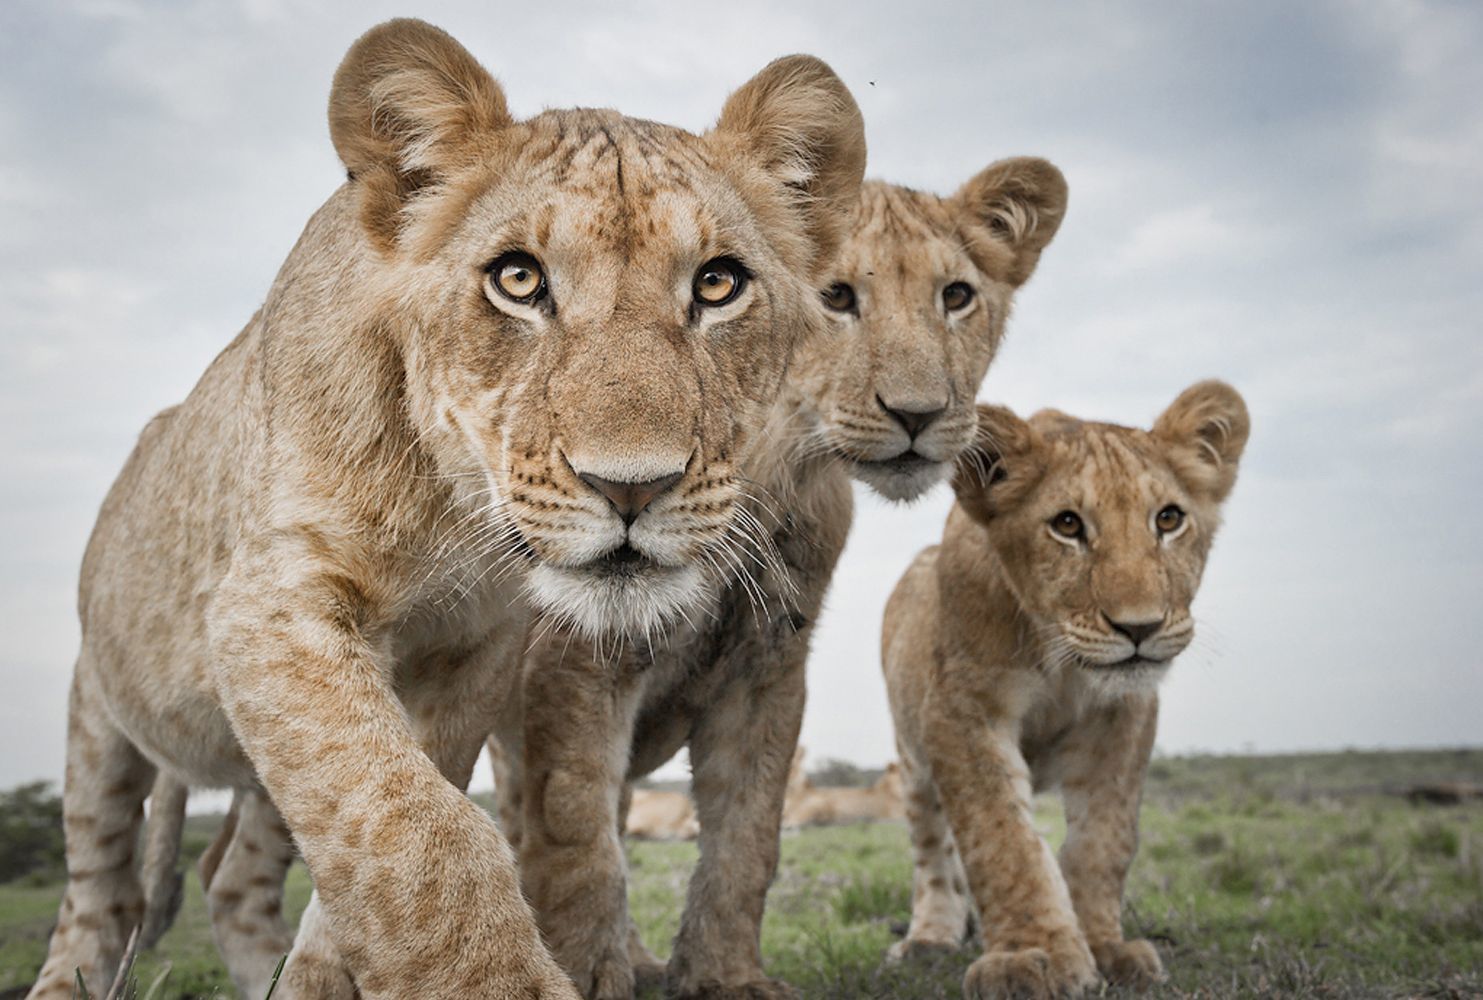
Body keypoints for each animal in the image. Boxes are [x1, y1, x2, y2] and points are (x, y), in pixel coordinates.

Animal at [31, 15, 866, 997]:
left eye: (717, 284)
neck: (450, 510)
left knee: (231, 872)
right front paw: (491, 979)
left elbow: (390, 829)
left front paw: (330, 973)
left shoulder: (475, 655)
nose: (632, 485)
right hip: (96, 721)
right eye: (518, 280)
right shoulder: (268, 605)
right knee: (100, 894)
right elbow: (409, 826)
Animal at [877, 379, 1251, 991]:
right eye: (1068, 525)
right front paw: (1036, 956)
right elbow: (1002, 839)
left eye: (1168, 519)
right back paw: (930, 937)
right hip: (911, 760)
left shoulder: (1124, 716)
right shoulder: (961, 711)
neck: (1062, 662)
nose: (1140, 628)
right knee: (932, 852)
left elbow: (1103, 840)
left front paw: (1104, 947)